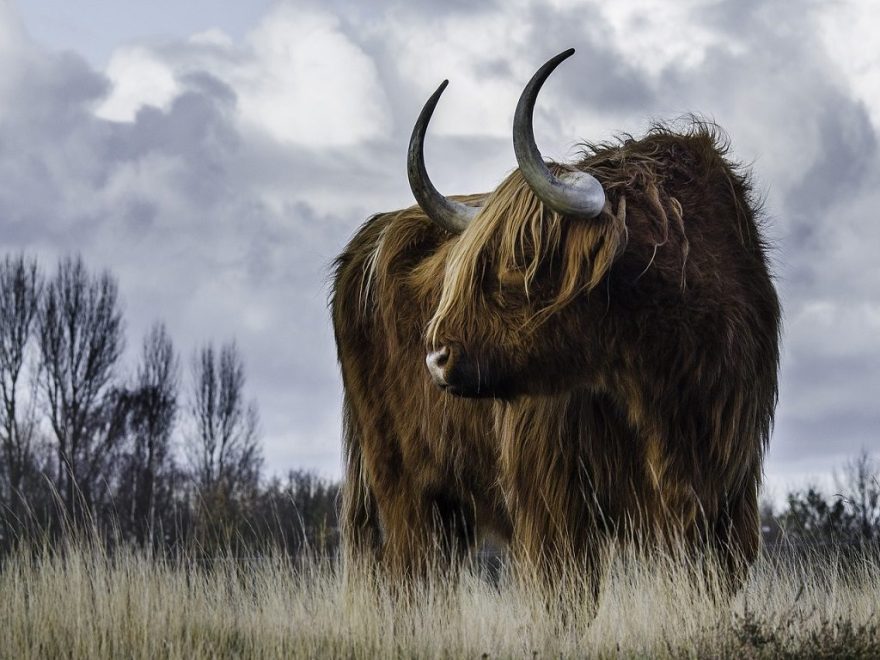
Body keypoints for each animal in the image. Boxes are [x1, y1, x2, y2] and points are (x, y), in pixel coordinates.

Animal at [331, 49, 781, 588]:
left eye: (521, 258)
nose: (437, 358)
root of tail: (366, 240)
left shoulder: (727, 498)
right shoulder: (554, 501)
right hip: (404, 487)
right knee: (409, 574)